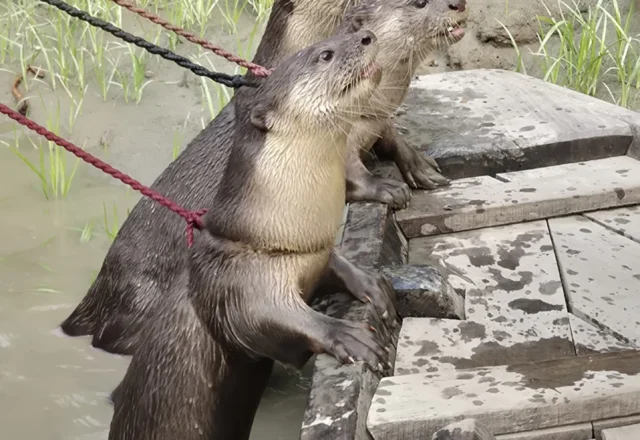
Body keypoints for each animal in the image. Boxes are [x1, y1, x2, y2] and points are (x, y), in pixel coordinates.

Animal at [108, 31, 391, 440]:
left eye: (342, 36)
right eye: (325, 54)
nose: (367, 35)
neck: (267, 236)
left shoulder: (313, 253)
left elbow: (336, 264)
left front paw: (370, 282)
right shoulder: (237, 283)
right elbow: (267, 319)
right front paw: (344, 333)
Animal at [340, 0, 468, 208]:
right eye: (420, 3)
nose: (459, 4)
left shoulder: (380, 120)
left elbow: (395, 138)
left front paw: (420, 167)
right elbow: (349, 172)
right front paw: (385, 187)